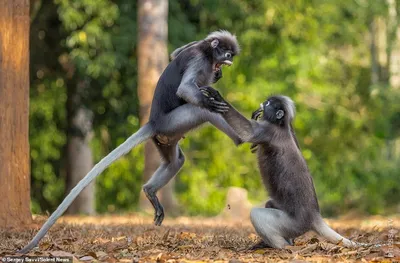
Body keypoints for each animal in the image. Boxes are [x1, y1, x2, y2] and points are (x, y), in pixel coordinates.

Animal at [18, 29, 241, 255]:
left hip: (165, 138)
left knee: (175, 161)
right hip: (173, 123)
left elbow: (175, 54)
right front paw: (210, 98)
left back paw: (150, 191)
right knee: (200, 111)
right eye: (227, 54)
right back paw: (239, 137)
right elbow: (185, 90)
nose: (228, 62)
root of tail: (152, 123)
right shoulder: (198, 58)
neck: (207, 52)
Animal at [200, 87, 360, 251]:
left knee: (256, 214)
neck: (280, 126)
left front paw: (217, 96)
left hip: (293, 224)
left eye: (268, 103)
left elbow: (247, 132)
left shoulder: (268, 131)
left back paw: (283, 247)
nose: (263, 102)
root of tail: (315, 217)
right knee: (270, 204)